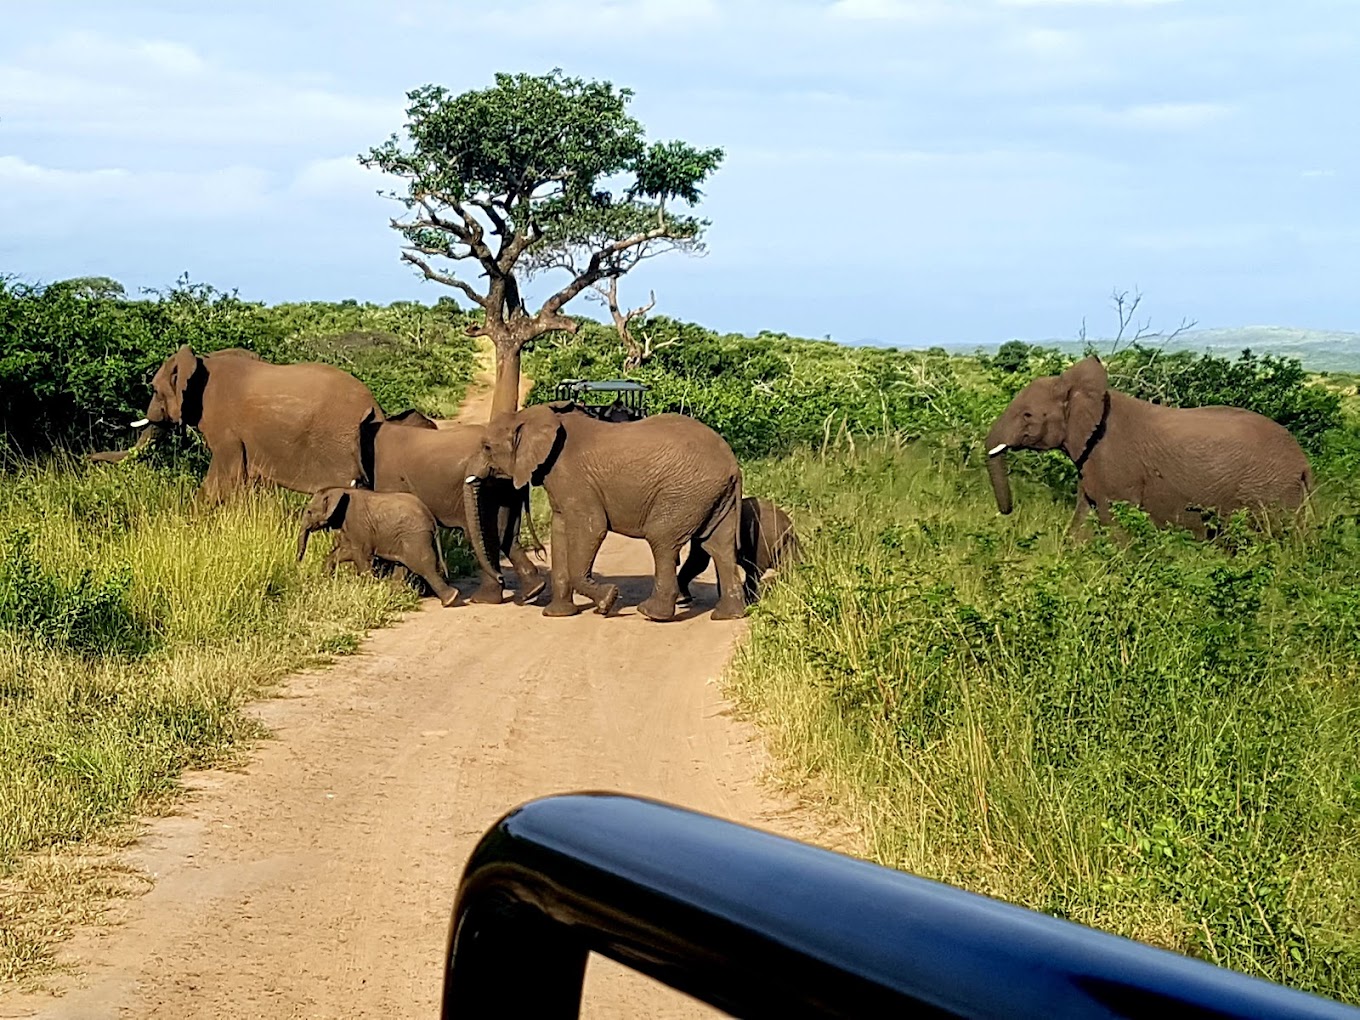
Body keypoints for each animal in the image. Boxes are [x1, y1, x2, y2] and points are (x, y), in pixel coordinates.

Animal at [91, 345, 383, 500]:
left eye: (153, 389)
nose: (89, 459)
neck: (201, 361)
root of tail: (376, 406)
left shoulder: (225, 427)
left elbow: (223, 478)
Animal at [295, 486, 459, 606]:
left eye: (309, 512)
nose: (298, 564)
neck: (338, 490)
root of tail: (431, 518)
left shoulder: (357, 523)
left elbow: (361, 554)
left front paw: (369, 588)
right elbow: (346, 552)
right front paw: (326, 579)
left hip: (415, 535)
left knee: (422, 565)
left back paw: (450, 600)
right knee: (404, 564)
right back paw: (395, 594)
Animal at [359, 410, 544, 606]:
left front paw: (398, 591)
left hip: (491, 489)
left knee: (486, 534)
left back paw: (485, 599)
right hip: (506, 488)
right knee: (506, 535)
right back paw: (532, 590)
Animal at [465, 402, 745, 620]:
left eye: (487, 447)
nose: (502, 583)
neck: (535, 416)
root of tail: (733, 464)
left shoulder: (574, 479)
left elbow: (592, 528)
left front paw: (607, 601)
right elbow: (560, 531)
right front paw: (557, 615)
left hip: (684, 492)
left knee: (663, 540)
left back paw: (651, 614)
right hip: (714, 496)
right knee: (718, 546)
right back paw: (727, 615)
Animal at [984, 356, 1311, 538]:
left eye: (1027, 415)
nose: (1008, 512)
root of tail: (1304, 463)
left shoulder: (1114, 465)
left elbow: (1114, 523)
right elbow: (1082, 520)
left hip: (1267, 491)